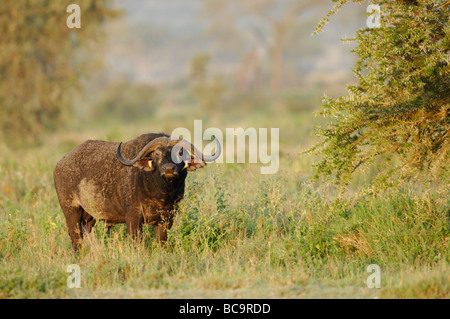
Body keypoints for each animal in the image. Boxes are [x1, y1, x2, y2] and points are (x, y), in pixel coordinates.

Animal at [54, 133, 221, 252]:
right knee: (75, 237)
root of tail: (60, 164)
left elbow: (161, 242)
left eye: (180, 153)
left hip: (89, 217)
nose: (168, 169)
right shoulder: (133, 217)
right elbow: (137, 243)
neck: (161, 194)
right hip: (71, 211)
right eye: (157, 154)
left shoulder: (168, 218)